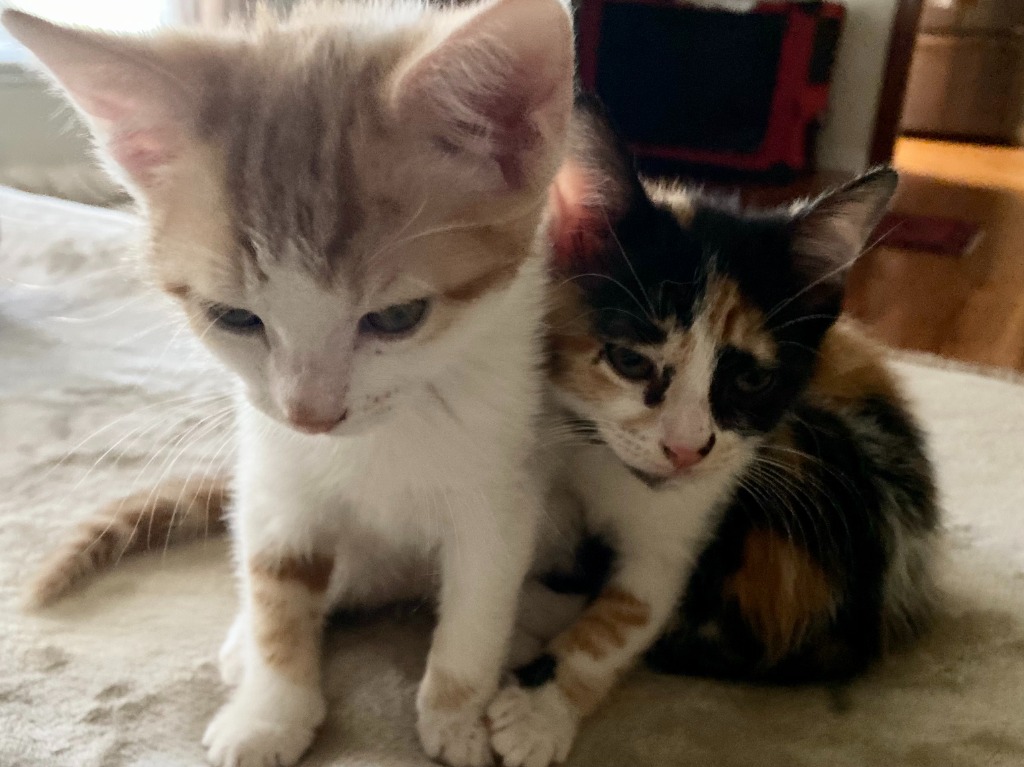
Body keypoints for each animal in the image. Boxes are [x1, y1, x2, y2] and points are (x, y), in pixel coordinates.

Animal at [3, 3, 575, 767]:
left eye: (398, 317)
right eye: (233, 317)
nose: (310, 414)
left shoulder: (501, 485)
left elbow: (477, 605)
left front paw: (456, 717)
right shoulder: (275, 476)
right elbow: (276, 586)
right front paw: (269, 713)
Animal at [485, 98, 940, 767]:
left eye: (750, 381)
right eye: (630, 361)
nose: (685, 449)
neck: (597, 458)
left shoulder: (694, 513)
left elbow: (631, 612)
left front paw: (540, 710)